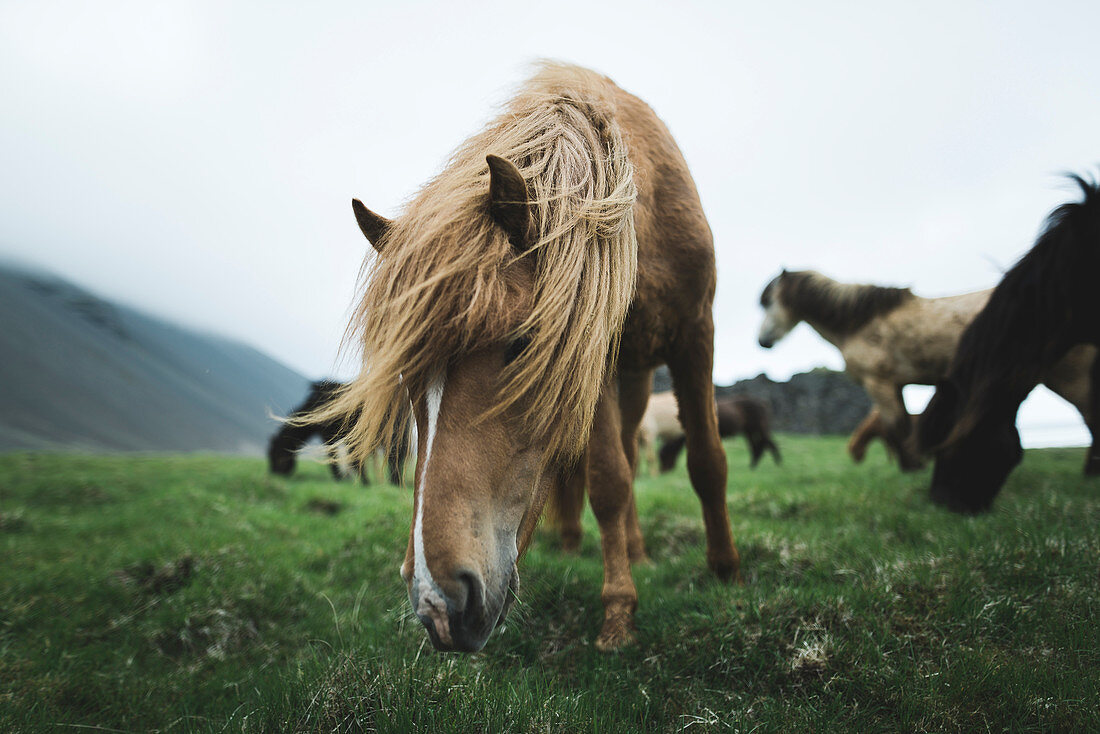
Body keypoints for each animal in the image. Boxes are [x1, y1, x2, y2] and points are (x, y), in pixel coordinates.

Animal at [265, 382, 409, 484]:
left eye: (275, 452)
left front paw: (340, 478)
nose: (274, 473)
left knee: (395, 456)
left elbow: (333, 456)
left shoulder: (328, 436)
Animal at [319, 60, 739, 651]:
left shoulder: (698, 336)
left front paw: (727, 572)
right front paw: (619, 611)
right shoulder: (595, 363)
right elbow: (608, 481)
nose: (437, 604)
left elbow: (707, 461)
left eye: (521, 344)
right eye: (407, 379)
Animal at [651, 396, 783, 470]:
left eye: (663, 456)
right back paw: (754, 464)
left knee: (768, 443)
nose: (663, 471)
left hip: (759, 427)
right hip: (749, 430)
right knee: (757, 445)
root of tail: (762, 403)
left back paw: (776, 463)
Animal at [752, 269, 1095, 470]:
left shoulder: (879, 382)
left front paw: (912, 467)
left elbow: (898, 427)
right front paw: (912, 465)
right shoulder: (898, 384)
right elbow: (900, 427)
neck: (859, 322)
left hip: (1068, 375)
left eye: (768, 302)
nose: (762, 342)